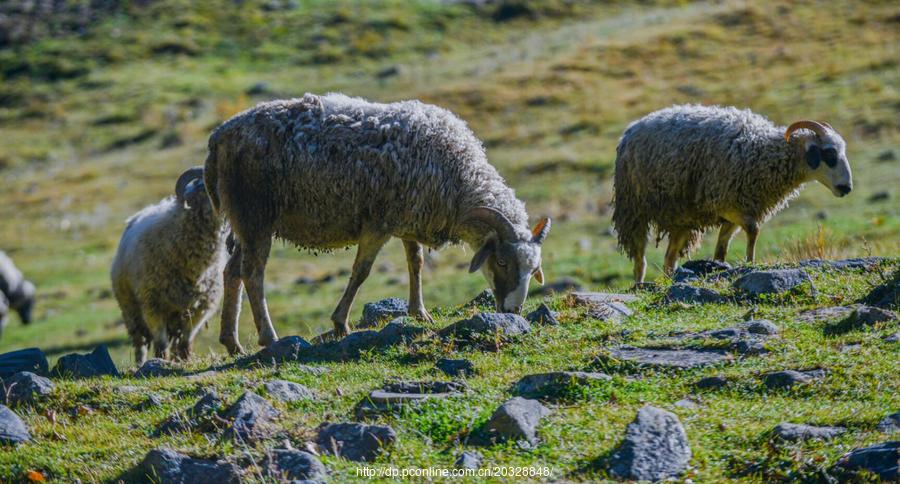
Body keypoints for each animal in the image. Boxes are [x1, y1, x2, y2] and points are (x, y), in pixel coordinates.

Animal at [111, 167, 229, 364]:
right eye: (208, 186)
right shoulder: (153, 306)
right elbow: (160, 344)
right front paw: (161, 361)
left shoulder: (200, 308)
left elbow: (186, 342)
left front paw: (185, 361)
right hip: (130, 309)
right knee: (140, 342)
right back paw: (140, 363)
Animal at [207, 93, 552, 352]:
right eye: (503, 262)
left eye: (534, 269)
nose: (513, 311)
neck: (459, 178)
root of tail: (220, 135)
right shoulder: (378, 223)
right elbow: (361, 272)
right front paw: (340, 323)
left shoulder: (410, 217)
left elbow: (416, 263)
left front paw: (419, 312)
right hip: (255, 215)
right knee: (252, 274)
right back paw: (269, 337)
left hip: (246, 221)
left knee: (232, 271)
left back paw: (232, 342)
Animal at [612, 104, 852, 282]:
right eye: (829, 153)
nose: (847, 188)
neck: (762, 152)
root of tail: (631, 129)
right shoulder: (722, 201)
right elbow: (754, 230)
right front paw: (750, 262)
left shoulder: (739, 209)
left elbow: (722, 247)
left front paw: (720, 265)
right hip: (634, 210)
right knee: (640, 259)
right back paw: (639, 284)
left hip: (681, 220)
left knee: (669, 259)